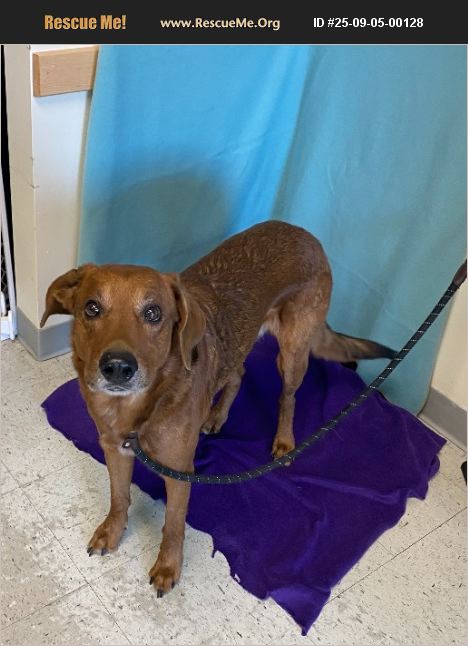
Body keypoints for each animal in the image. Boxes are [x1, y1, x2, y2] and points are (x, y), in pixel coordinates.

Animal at [41, 220, 394, 595]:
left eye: (153, 313)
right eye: (92, 308)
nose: (118, 368)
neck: (139, 408)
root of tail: (303, 233)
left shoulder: (179, 472)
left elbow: (174, 524)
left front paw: (168, 566)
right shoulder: (113, 448)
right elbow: (119, 497)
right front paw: (112, 531)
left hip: (292, 353)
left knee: (288, 396)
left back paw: (284, 440)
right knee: (238, 374)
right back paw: (216, 415)